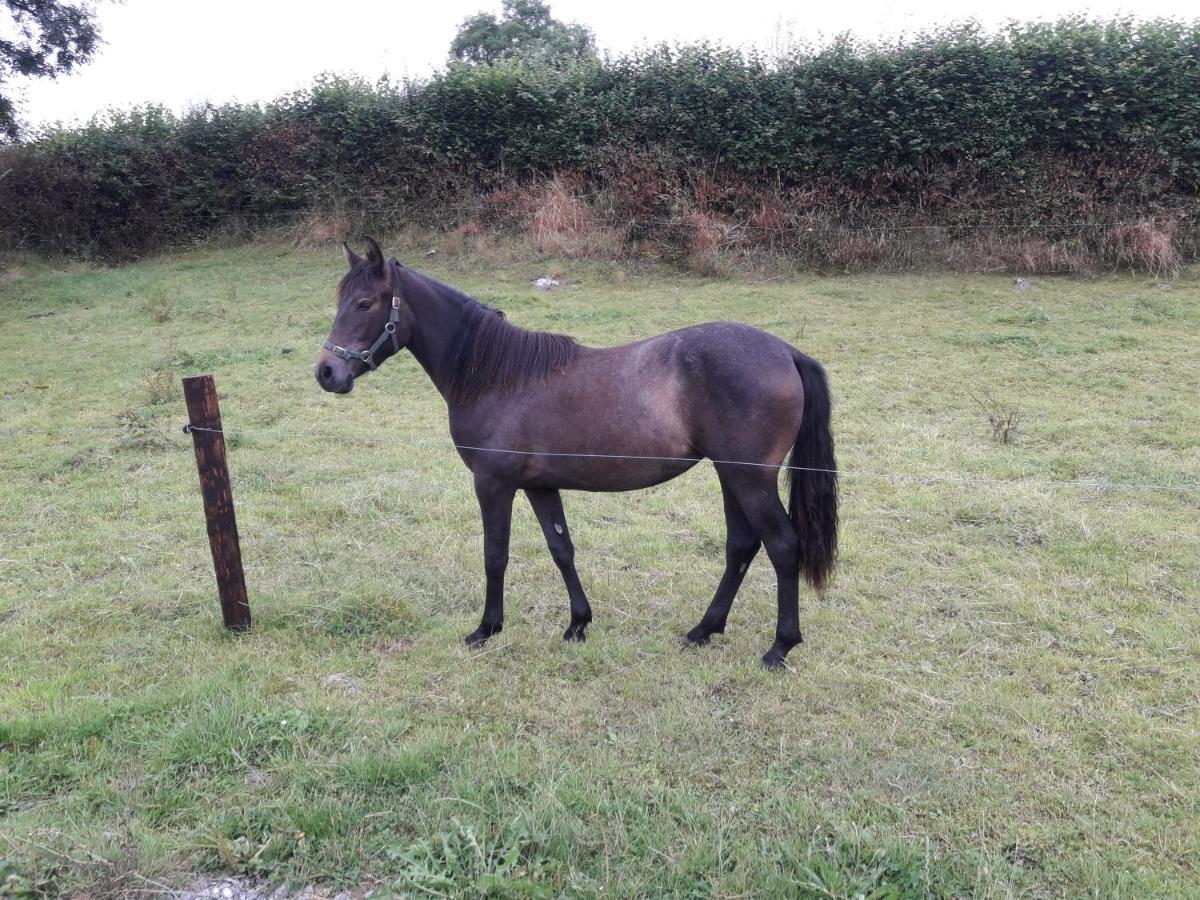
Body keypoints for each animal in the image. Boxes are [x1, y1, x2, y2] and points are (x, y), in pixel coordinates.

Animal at [321, 240, 844, 672]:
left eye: (365, 303)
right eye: (340, 299)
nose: (326, 373)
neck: (497, 376)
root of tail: (787, 352)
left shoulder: (493, 484)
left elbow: (495, 555)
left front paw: (486, 629)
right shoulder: (540, 485)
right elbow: (561, 549)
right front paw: (578, 624)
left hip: (749, 479)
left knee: (782, 546)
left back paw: (779, 647)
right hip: (731, 476)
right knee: (741, 546)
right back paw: (703, 630)